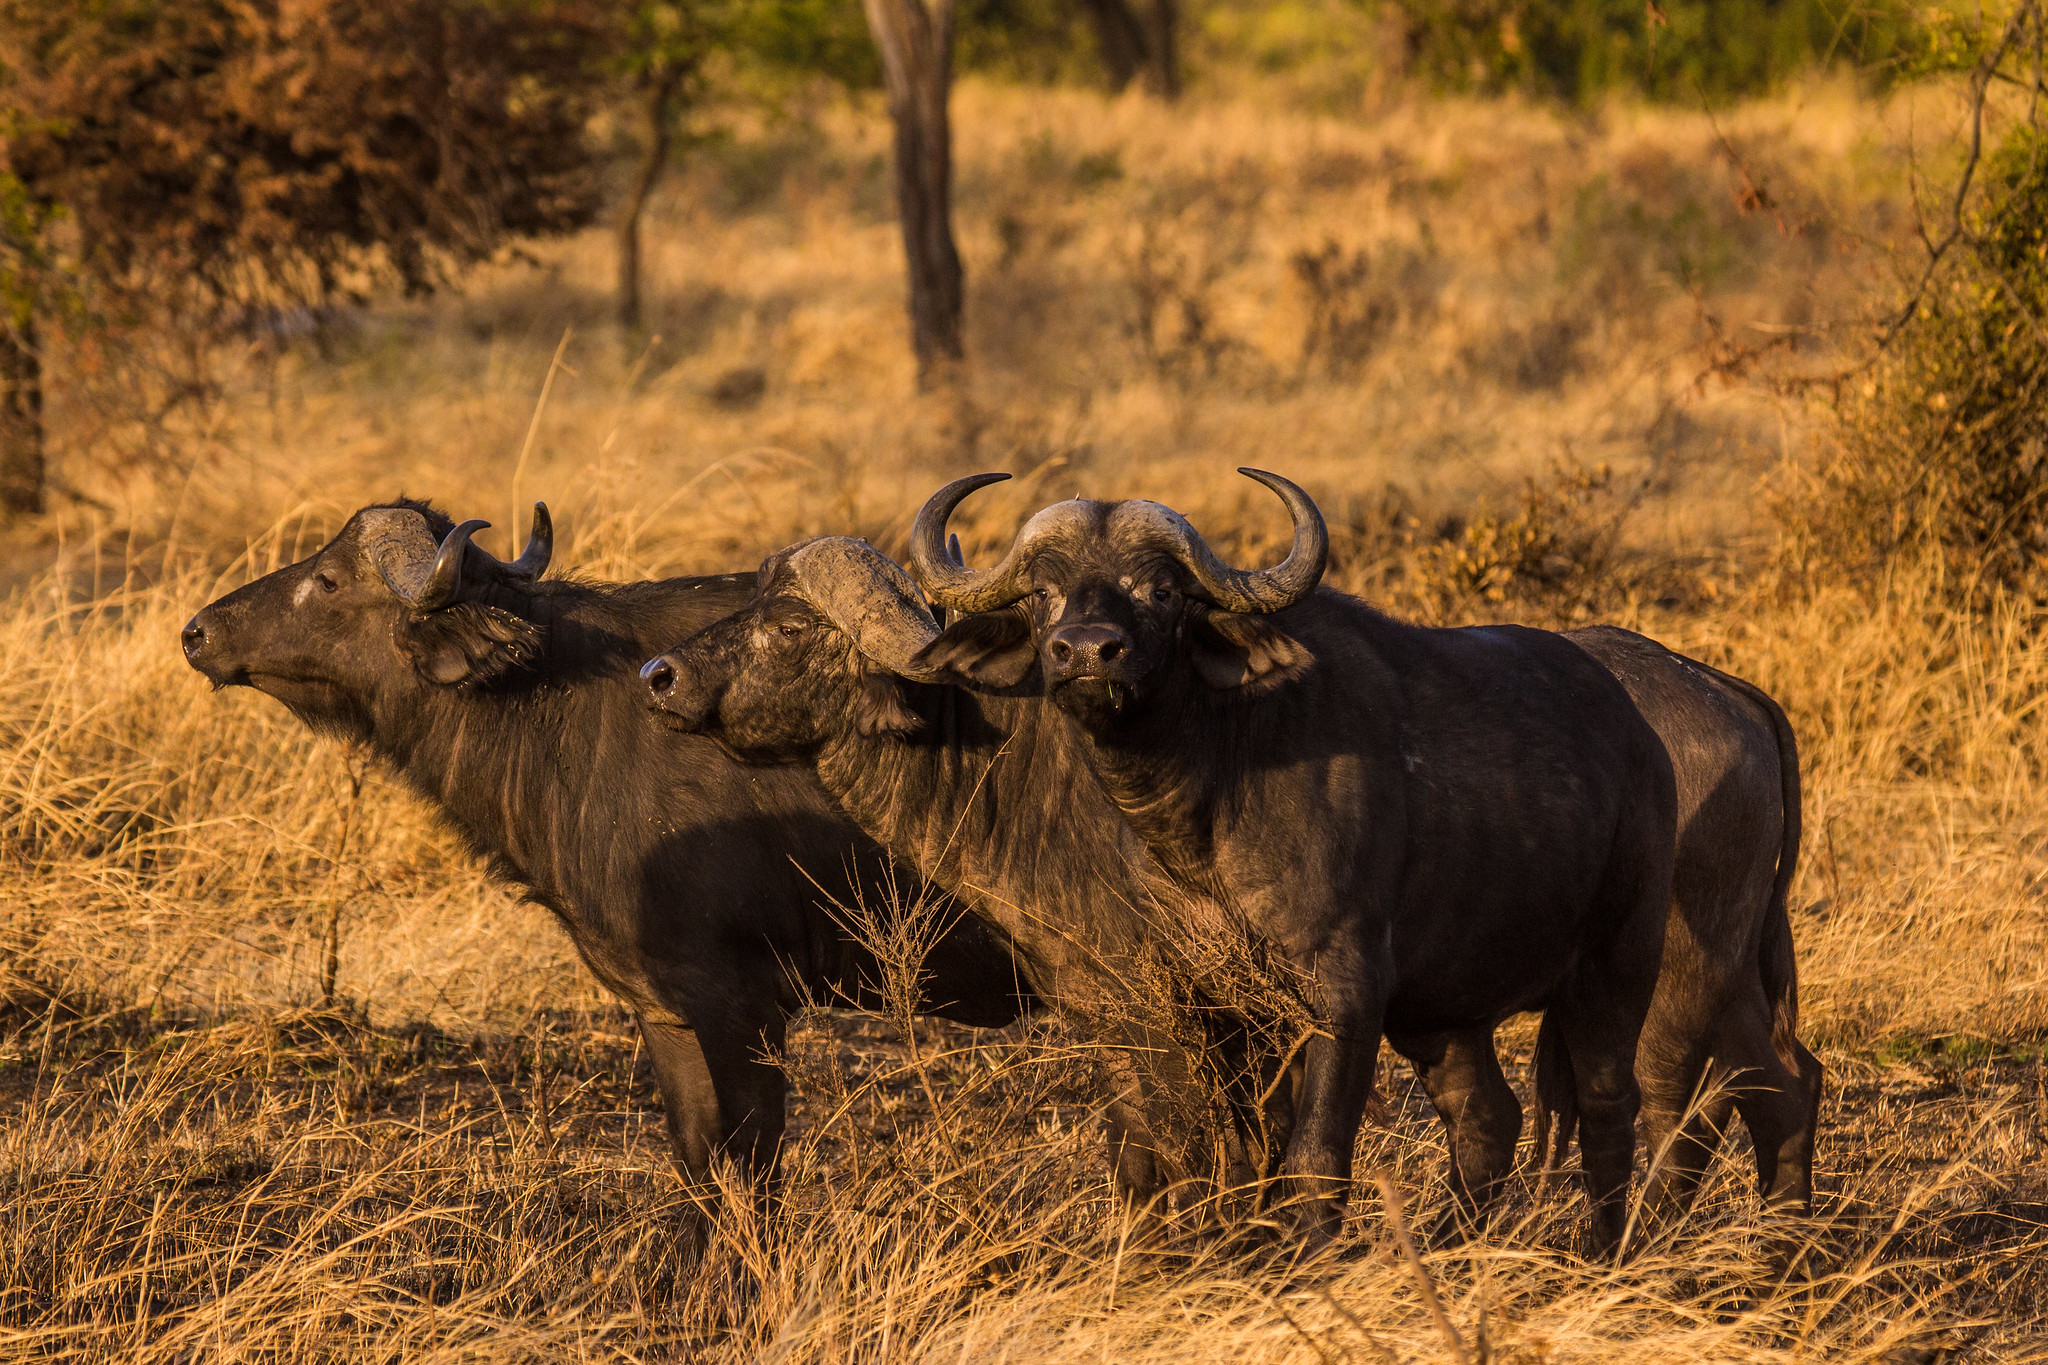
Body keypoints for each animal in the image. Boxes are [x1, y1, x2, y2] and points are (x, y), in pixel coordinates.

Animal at [184, 499, 1032, 1186]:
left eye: (327, 579)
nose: (197, 631)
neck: (565, 707)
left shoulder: (741, 1005)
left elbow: (745, 1173)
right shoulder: (667, 1014)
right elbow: (699, 1165)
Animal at [913, 470, 1679, 1252]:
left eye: (1162, 590)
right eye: (1044, 592)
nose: (1086, 651)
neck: (1207, 804)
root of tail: (1641, 736)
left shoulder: (1345, 988)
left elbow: (1312, 1153)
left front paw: (1310, 1249)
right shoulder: (1198, 1002)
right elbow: (1225, 1148)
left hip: (1615, 966)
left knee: (1609, 1105)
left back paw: (1603, 1250)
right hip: (1444, 1009)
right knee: (1487, 1115)